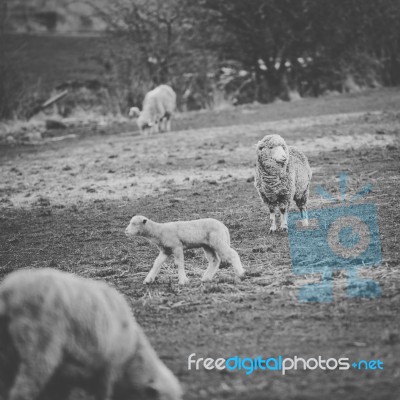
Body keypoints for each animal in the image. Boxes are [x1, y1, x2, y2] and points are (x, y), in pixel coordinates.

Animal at [0, 268, 182, 400]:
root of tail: (9, 295)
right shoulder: (107, 371)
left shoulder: (64, 380)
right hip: (39, 350)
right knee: (22, 391)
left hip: (7, 359)